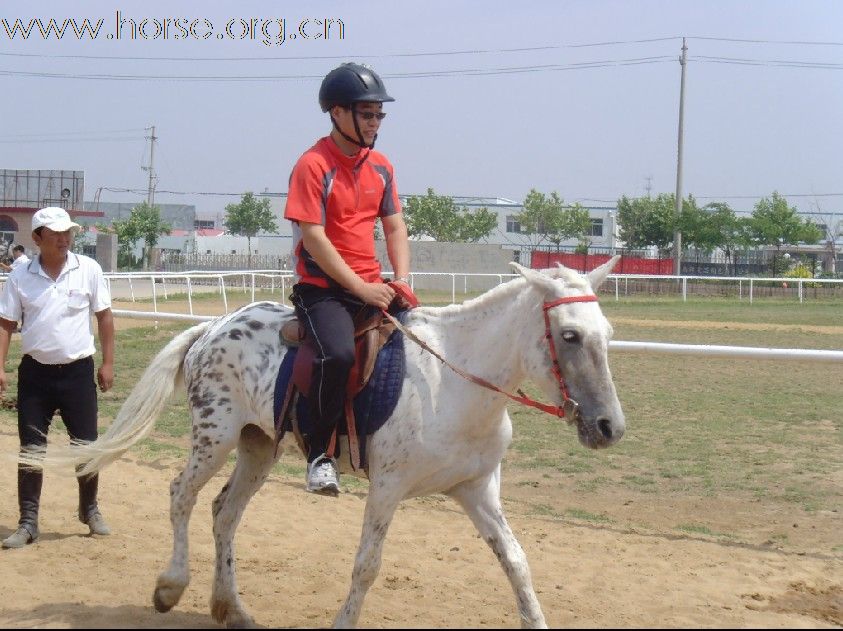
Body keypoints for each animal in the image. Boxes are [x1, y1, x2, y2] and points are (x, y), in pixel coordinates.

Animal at [29, 260, 624, 628]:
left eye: (608, 333)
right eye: (569, 335)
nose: (609, 427)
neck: (451, 380)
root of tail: (211, 327)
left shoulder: (477, 489)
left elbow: (516, 561)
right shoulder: (387, 488)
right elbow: (367, 566)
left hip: (258, 448)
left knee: (224, 513)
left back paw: (233, 608)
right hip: (214, 436)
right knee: (182, 496)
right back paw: (171, 587)